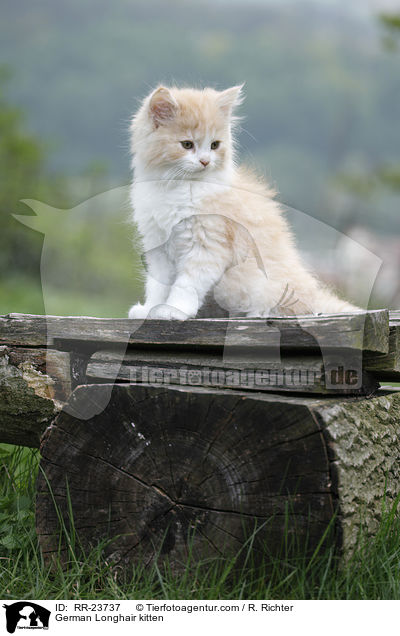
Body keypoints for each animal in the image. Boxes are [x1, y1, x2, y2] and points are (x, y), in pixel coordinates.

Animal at [128, 85, 356, 320]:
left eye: (214, 145)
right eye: (187, 145)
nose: (205, 161)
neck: (178, 187)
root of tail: (313, 294)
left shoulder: (207, 246)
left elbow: (186, 284)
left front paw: (174, 309)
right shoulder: (158, 246)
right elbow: (157, 285)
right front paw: (150, 309)